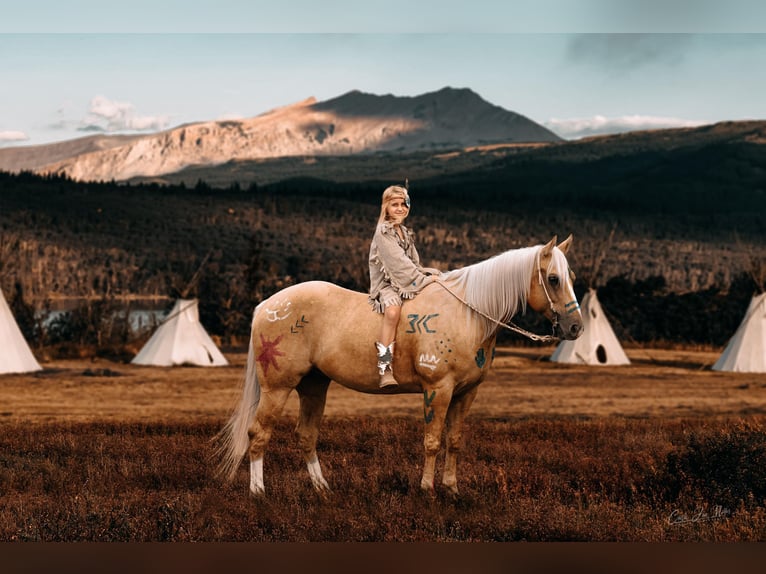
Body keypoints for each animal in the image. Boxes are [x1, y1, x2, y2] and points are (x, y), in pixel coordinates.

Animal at [219, 236, 584, 498]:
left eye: (572, 278)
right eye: (553, 279)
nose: (576, 328)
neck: (468, 313)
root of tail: (267, 305)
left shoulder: (466, 393)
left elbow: (454, 441)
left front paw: (452, 490)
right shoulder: (438, 390)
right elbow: (432, 441)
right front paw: (427, 491)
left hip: (313, 386)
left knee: (306, 436)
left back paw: (323, 490)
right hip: (276, 388)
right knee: (258, 434)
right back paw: (258, 493)